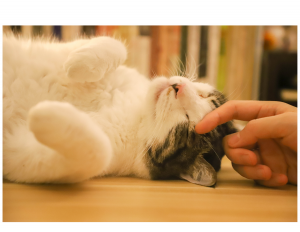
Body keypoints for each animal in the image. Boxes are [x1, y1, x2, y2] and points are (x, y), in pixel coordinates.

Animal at [2, 33, 237, 187]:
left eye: (186, 122)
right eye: (204, 96)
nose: (177, 87)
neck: (135, 110)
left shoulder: (20, 158)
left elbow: (98, 152)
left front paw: (44, 112)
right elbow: (115, 46)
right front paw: (77, 63)